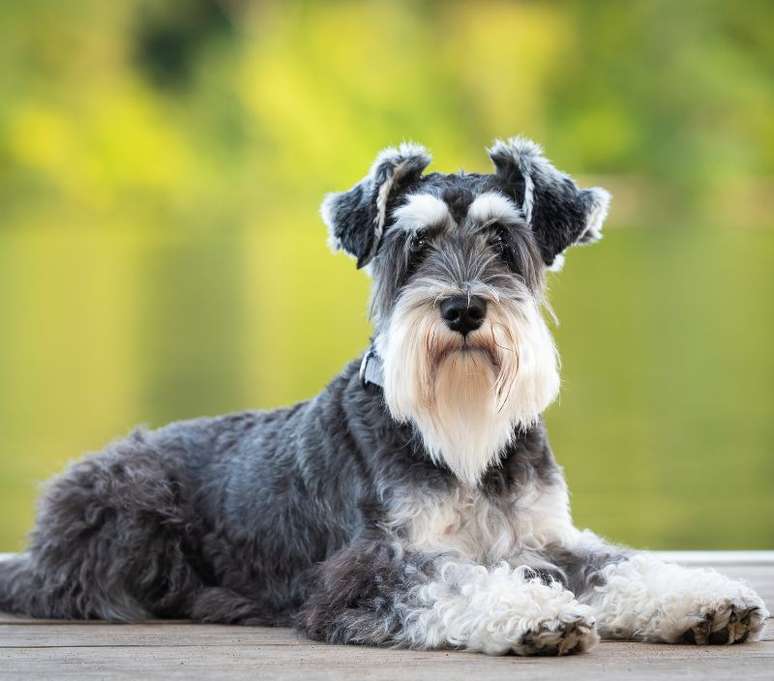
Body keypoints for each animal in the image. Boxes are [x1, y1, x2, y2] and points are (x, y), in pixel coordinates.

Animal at [0, 138, 768, 652]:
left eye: (502, 238)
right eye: (414, 245)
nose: (463, 308)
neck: (460, 439)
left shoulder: (547, 537)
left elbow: (623, 564)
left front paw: (705, 596)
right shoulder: (367, 566)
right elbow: (454, 579)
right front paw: (532, 612)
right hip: (130, 502)